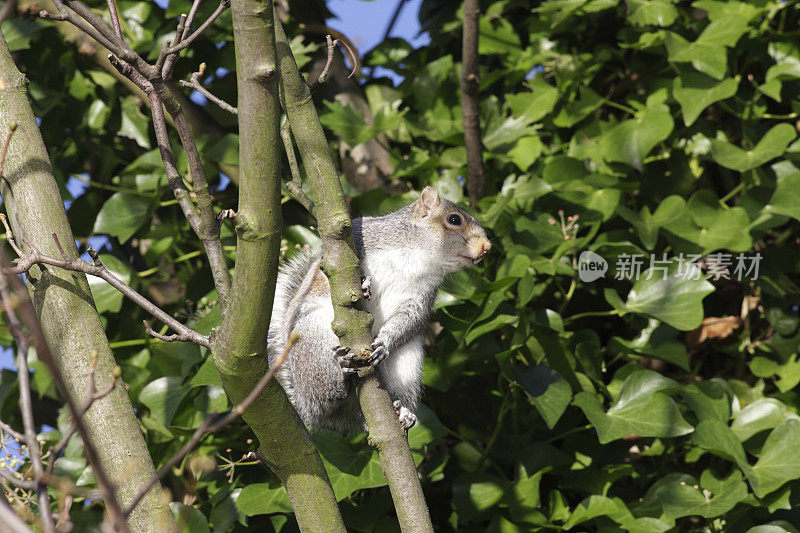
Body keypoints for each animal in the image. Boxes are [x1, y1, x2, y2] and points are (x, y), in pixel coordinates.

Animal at [268, 187, 490, 432]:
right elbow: (327, 270)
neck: (419, 256)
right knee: (326, 397)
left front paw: (384, 343)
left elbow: (409, 318)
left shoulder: (420, 297)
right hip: (312, 339)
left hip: (406, 366)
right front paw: (364, 284)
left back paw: (400, 413)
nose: (487, 248)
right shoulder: (359, 236)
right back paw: (340, 375)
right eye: (454, 220)